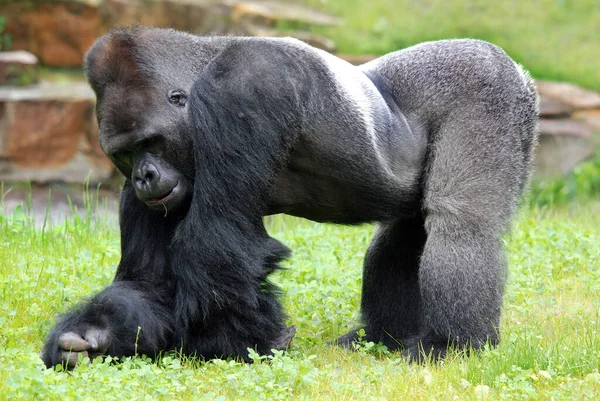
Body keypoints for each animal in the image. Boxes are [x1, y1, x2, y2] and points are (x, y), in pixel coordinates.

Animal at [42, 25, 540, 368]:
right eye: (124, 153)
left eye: (150, 142)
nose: (145, 176)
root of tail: (515, 67)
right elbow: (149, 284)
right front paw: (98, 334)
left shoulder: (241, 87)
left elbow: (218, 244)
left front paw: (236, 345)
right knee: (401, 238)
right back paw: (382, 335)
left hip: (487, 89)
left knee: (461, 225)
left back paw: (451, 345)